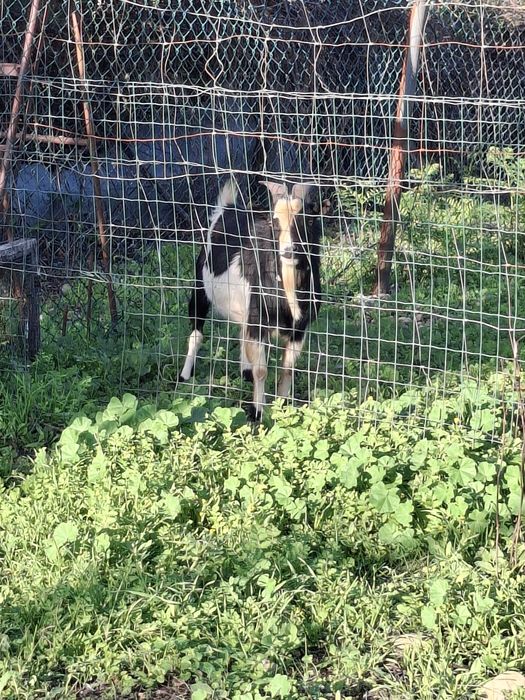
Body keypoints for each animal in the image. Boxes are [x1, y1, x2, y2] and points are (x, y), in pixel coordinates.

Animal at [179, 179, 329, 420]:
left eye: (308, 220)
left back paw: (244, 372)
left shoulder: (299, 329)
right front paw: (257, 412)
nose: (289, 251)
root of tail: (227, 208)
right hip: (200, 287)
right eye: (274, 222)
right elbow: (262, 370)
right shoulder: (258, 324)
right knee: (196, 333)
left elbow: (288, 368)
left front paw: (282, 407)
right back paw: (184, 376)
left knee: (241, 334)